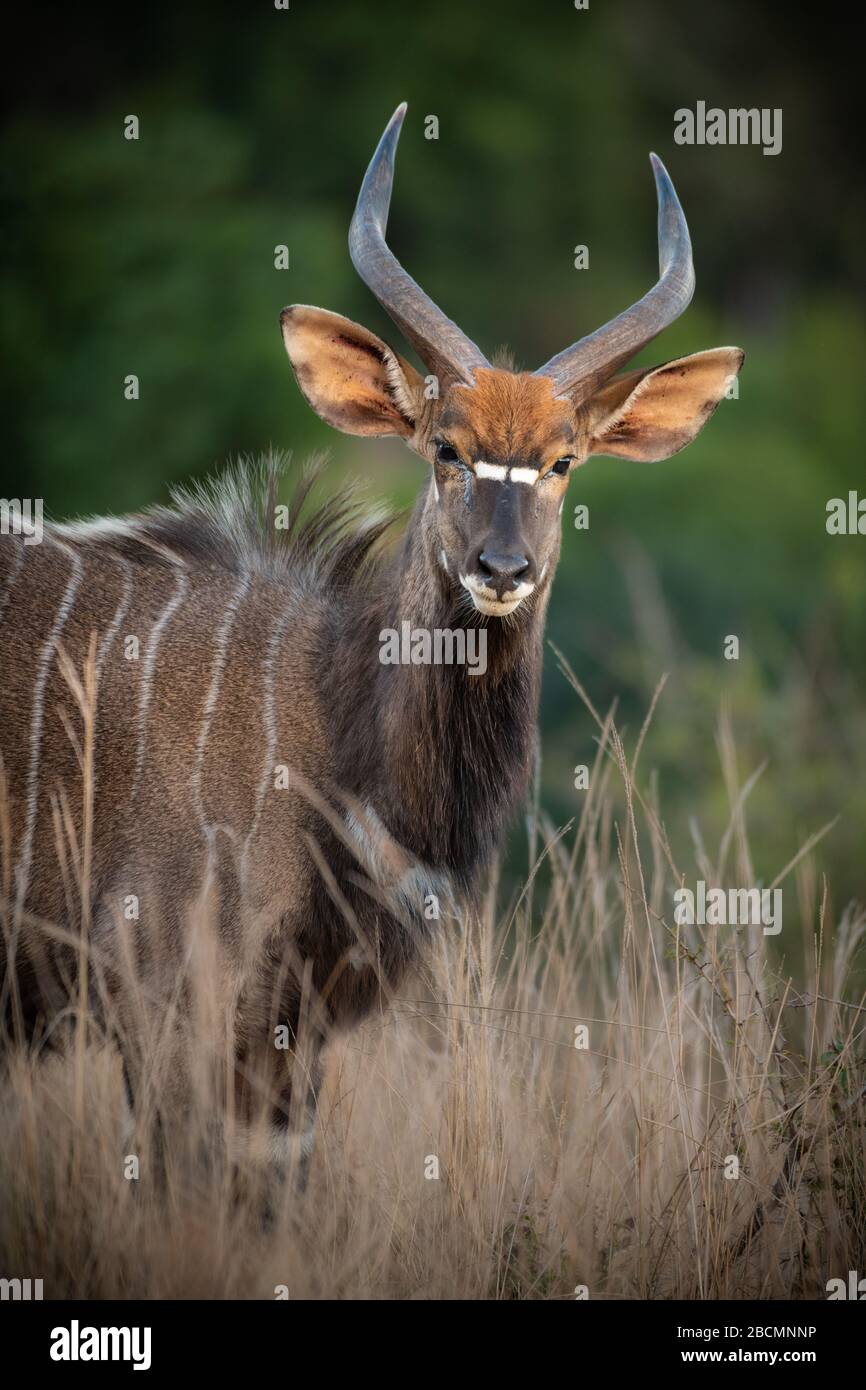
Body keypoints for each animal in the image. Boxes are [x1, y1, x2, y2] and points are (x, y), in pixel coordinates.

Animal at [0, 105, 745, 1173]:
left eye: (562, 461)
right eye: (445, 447)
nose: (502, 569)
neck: (329, 727)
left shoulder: (291, 1038)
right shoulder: (164, 996)